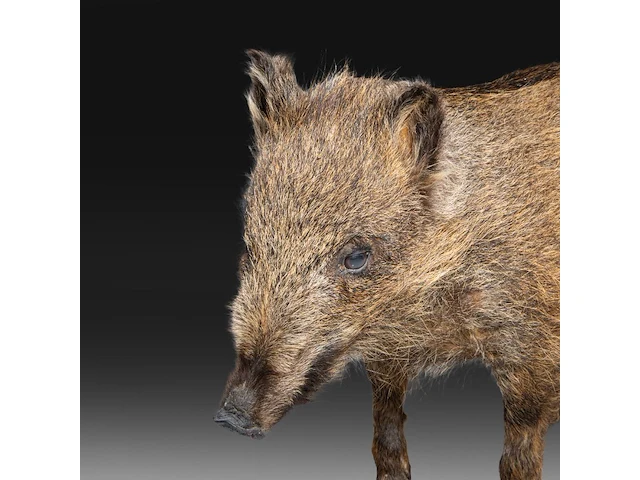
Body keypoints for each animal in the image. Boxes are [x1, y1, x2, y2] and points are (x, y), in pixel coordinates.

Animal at [215, 50, 559, 480]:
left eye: (356, 257)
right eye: (250, 245)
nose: (232, 416)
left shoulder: (530, 355)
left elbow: (518, 453)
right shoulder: (387, 356)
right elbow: (386, 421)